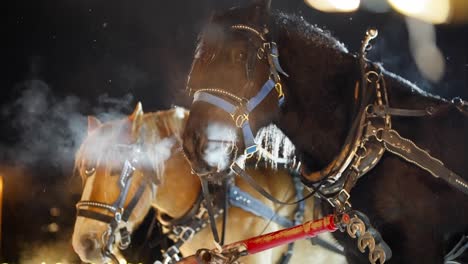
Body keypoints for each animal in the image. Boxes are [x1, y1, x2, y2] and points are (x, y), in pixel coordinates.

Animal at [181, 1, 468, 262]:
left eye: (240, 56)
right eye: (196, 64)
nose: (194, 145)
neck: (367, 138)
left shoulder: (420, 246)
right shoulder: (356, 252)